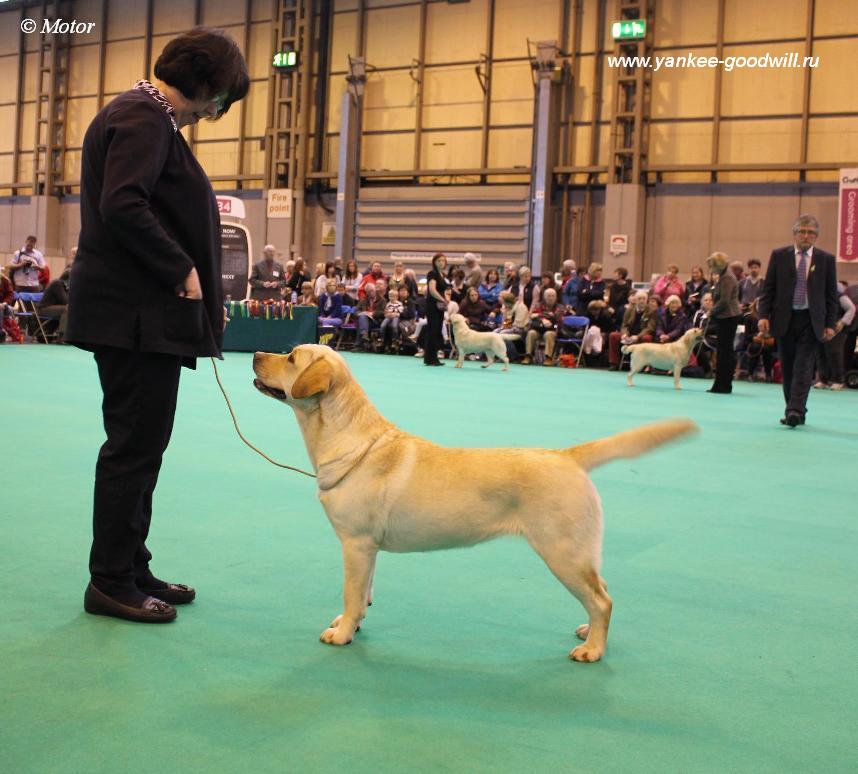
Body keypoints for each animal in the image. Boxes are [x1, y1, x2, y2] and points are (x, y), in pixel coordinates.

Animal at [251, 348, 692, 664]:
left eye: (290, 357)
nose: (255, 354)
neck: (349, 438)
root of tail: (567, 456)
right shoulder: (369, 548)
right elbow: (364, 594)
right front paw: (353, 624)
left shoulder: (355, 543)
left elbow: (350, 592)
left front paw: (341, 634)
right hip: (579, 551)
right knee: (603, 590)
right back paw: (589, 631)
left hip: (562, 551)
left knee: (603, 600)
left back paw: (593, 650)